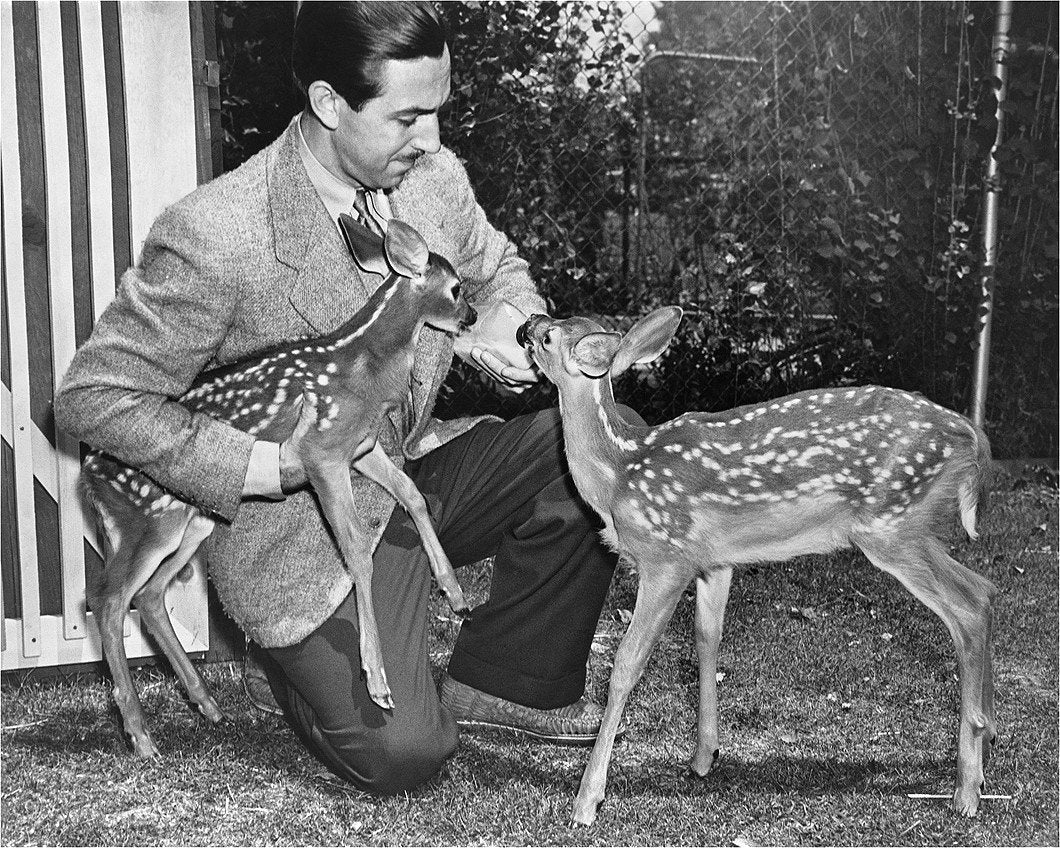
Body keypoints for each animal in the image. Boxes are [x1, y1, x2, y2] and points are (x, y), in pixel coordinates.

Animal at [79, 215, 474, 758]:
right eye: (456, 289)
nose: (472, 316)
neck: (364, 362)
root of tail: (88, 476)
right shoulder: (321, 452)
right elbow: (357, 551)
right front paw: (377, 681)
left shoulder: (361, 446)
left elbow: (412, 495)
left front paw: (455, 593)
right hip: (145, 520)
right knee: (107, 597)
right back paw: (141, 735)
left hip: (193, 522)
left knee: (152, 594)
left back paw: (207, 704)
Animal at [516, 306, 997, 825]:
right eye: (553, 318)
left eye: (548, 336)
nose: (525, 324)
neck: (617, 475)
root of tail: (971, 437)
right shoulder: (714, 561)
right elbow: (705, 640)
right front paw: (704, 756)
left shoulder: (667, 556)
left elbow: (626, 662)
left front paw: (587, 800)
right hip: (911, 528)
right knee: (984, 589)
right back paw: (987, 746)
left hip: (891, 525)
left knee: (968, 607)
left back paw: (966, 789)